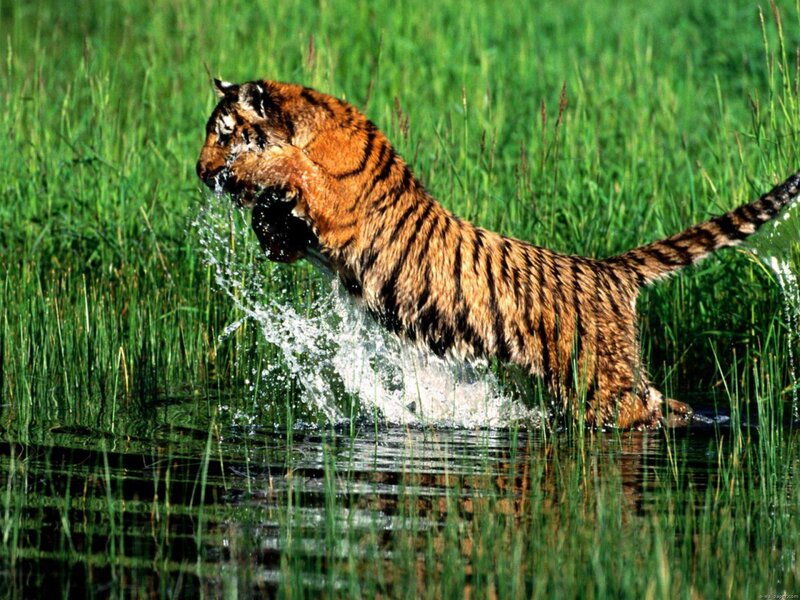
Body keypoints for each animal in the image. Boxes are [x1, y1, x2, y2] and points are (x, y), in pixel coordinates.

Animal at [196, 78, 800, 429]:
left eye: (224, 135)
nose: (201, 173)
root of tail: (607, 270)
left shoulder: (338, 205)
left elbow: (291, 166)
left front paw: (253, 171)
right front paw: (265, 221)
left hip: (600, 382)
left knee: (644, 409)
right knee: (666, 403)